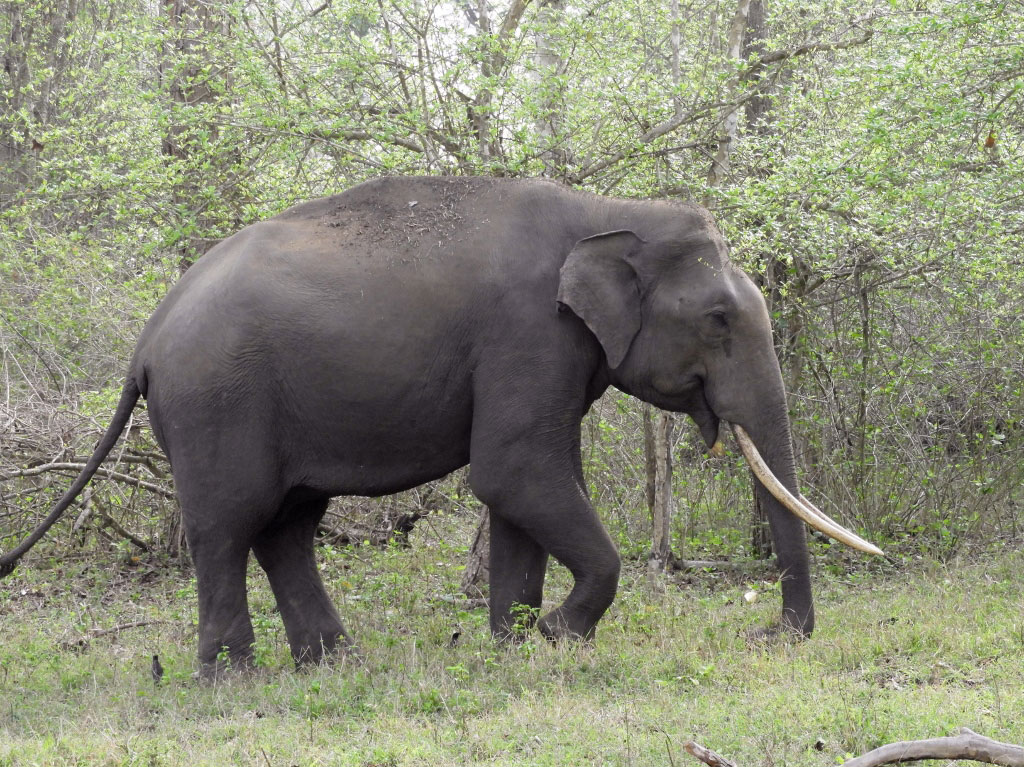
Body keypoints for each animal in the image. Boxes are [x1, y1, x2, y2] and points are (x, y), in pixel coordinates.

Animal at [0, 176, 880, 671]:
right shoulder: (528, 332)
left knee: (288, 525)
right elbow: (514, 471)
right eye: (720, 319)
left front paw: (515, 643)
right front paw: (558, 634)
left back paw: (333, 663)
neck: (608, 212)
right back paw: (232, 676)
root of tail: (145, 341)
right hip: (216, 401)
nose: (770, 635)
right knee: (227, 526)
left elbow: (521, 486)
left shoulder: (549, 352)